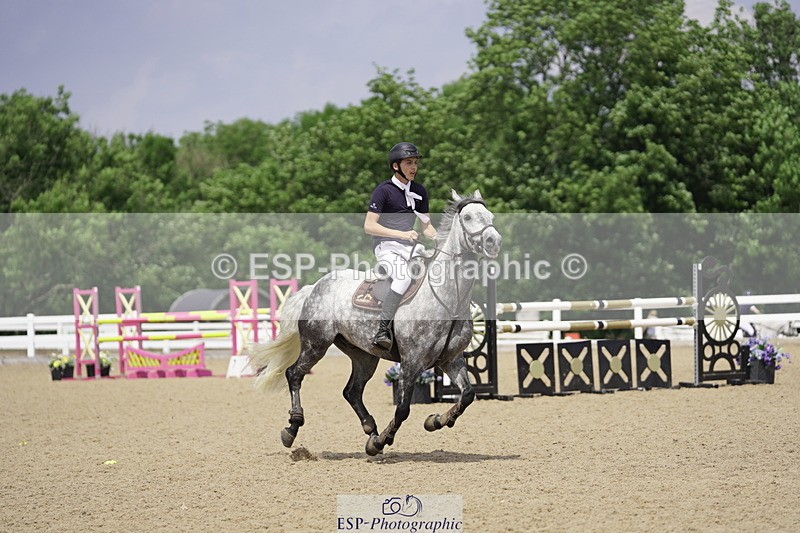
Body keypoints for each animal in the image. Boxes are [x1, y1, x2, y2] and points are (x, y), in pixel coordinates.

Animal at [249, 190, 502, 456]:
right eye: (468, 217)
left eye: (490, 216)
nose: (493, 241)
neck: (448, 300)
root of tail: (314, 287)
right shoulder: (411, 362)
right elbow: (403, 409)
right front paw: (384, 440)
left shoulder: (451, 360)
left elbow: (468, 395)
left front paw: (435, 421)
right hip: (315, 344)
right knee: (294, 375)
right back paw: (292, 428)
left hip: (364, 355)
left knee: (351, 391)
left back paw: (370, 430)